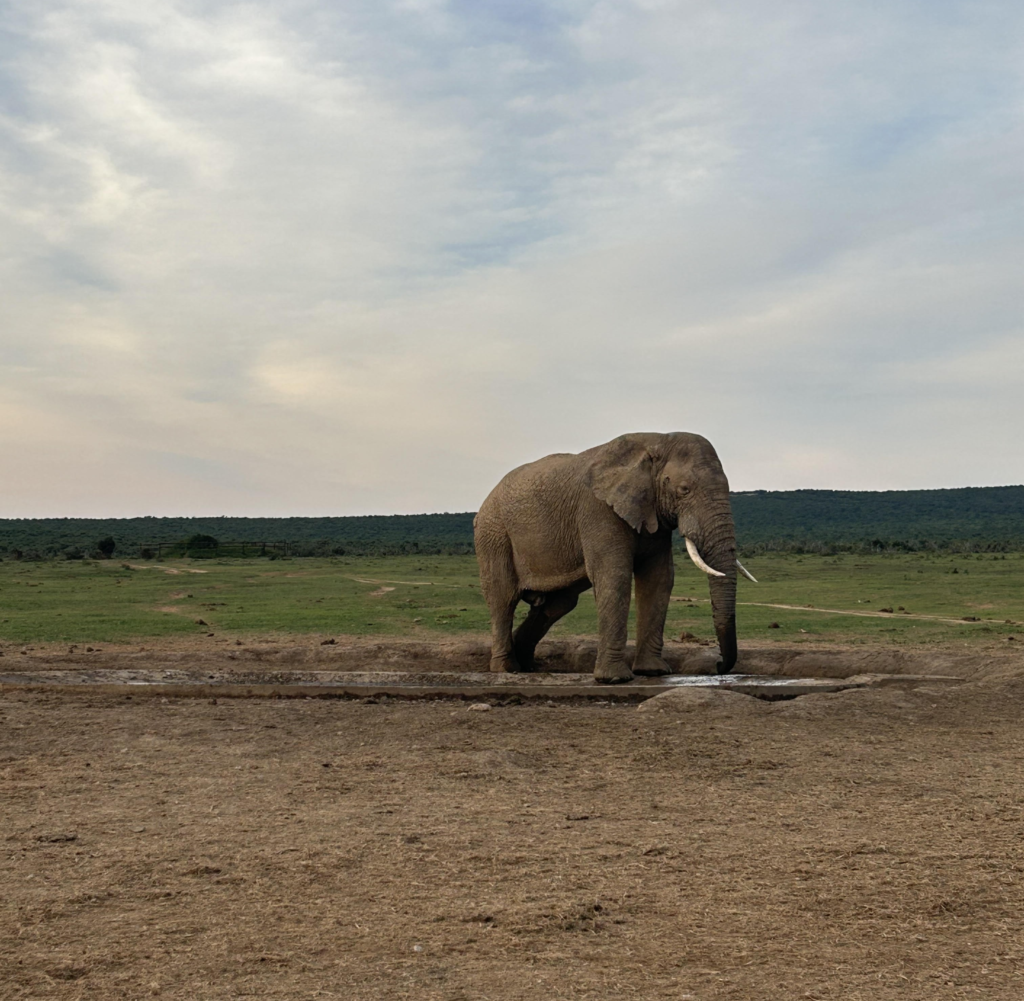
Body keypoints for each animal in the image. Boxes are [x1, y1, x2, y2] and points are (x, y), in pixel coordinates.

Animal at [473, 432, 756, 684]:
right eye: (684, 490)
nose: (718, 666)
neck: (657, 441)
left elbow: (659, 579)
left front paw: (653, 672)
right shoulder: (599, 510)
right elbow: (614, 575)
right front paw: (615, 679)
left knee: (557, 604)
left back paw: (527, 666)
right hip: (493, 535)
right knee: (503, 598)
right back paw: (507, 669)